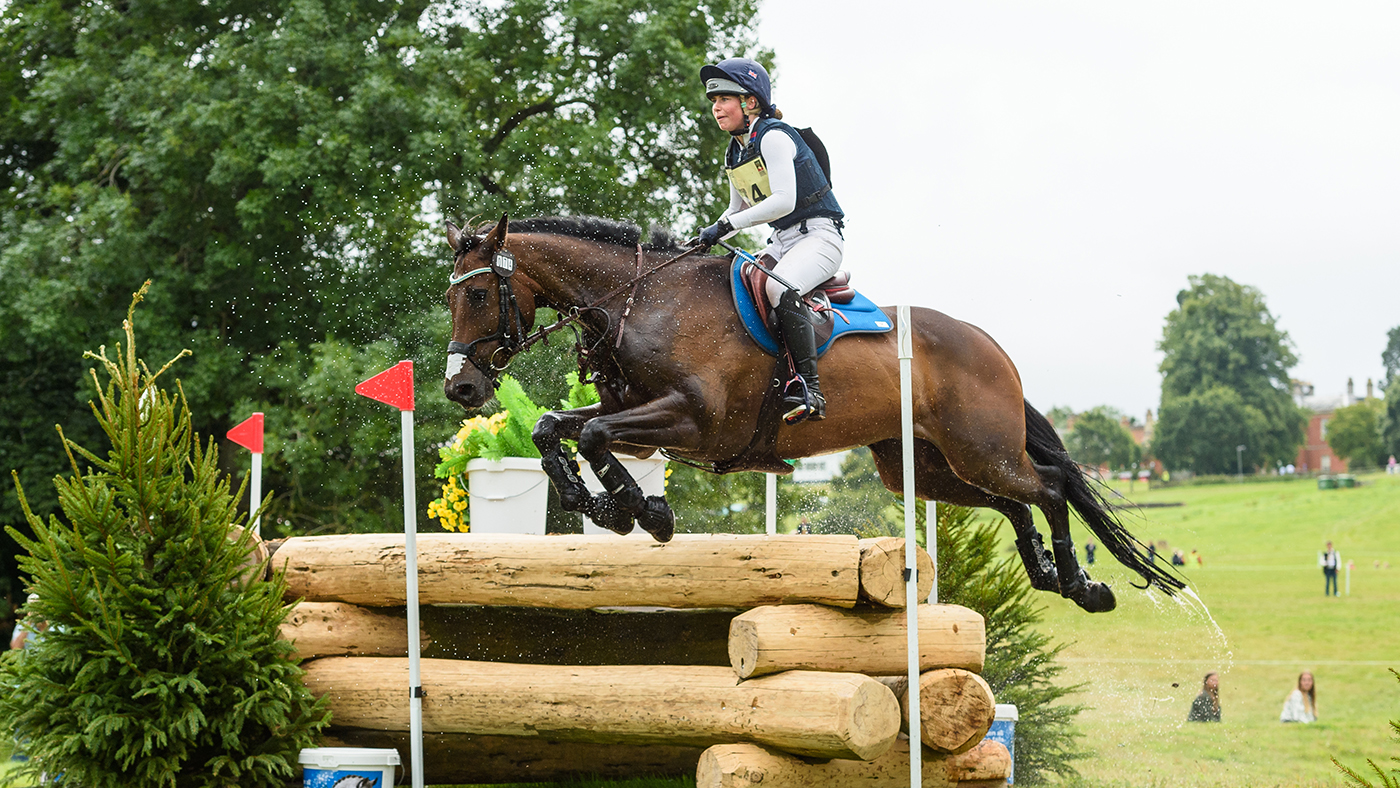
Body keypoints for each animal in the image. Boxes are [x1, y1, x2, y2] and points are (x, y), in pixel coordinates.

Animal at [441, 214, 1183, 613]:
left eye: (476, 294)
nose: (461, 390)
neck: (640, 300)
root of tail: (989, 345)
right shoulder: (640, 417)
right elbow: (556, 428)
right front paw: (603, 504)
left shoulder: (694, 423)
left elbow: (594, 433)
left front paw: (641, 513)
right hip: (921, 464)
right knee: (1014, 502)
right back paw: (1048, 574)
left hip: (981, 448)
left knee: (1049, 489)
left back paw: (1083, 583)